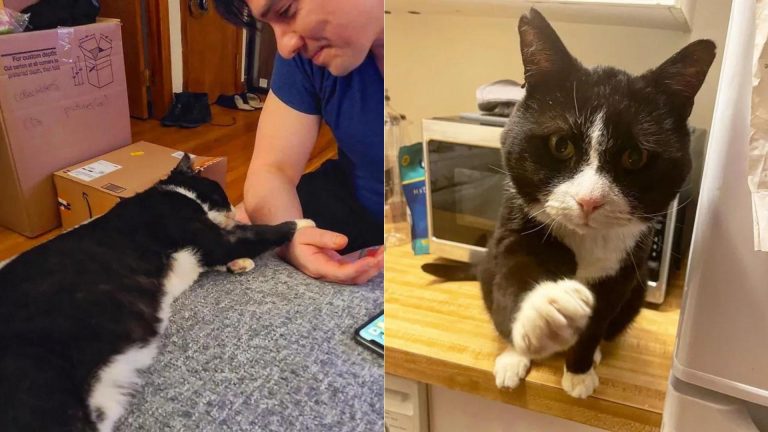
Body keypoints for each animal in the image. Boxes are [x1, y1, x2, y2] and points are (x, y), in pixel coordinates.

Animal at [2, 156, 308, 432]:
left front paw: (239, 263)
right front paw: (303, 225)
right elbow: (254, 234)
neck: (175, 192)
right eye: (221, 191)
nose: (234, 208)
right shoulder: (209, 237)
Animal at [426, 8, 712, 398]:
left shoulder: (623, 271)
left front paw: (579, 371)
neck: (586, 241)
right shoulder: (513, 232)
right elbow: (513, 282)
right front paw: (546, 310)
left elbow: (597, 320)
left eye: (634, 157)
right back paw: (515, 355)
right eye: (561, 145)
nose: (589, 200)